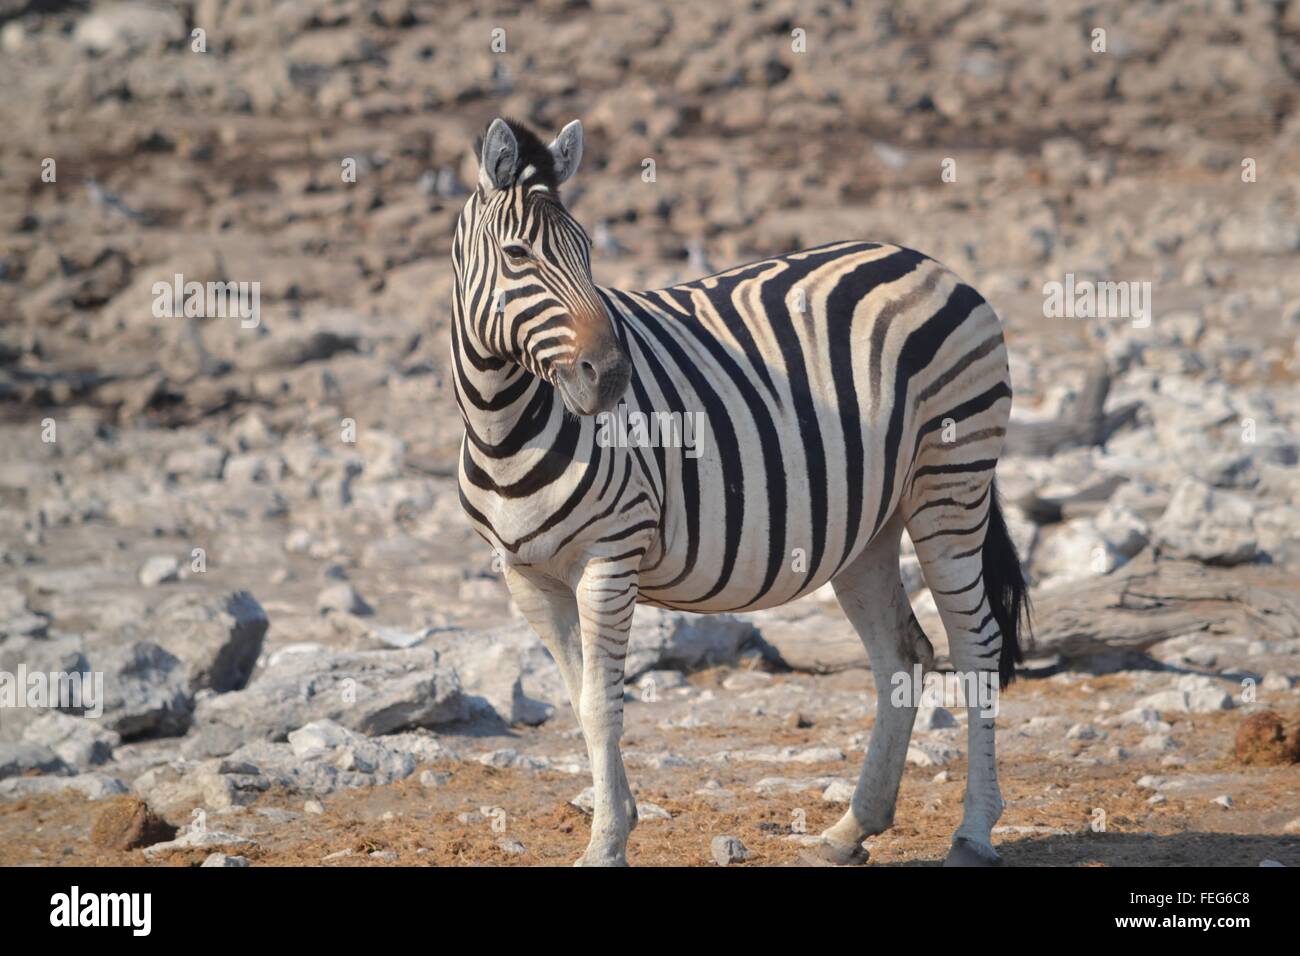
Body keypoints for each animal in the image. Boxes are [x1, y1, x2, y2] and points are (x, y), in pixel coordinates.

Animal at [452, 117, 1029, 868]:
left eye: (587, 252)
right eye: (517, 255)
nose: (612, 376)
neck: (504, 425)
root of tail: (933, 263)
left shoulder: (610, 556)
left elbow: (605, 703)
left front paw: (606, 844)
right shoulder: (524, 575)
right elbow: (580, 700)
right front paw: (617, 820)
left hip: (950, 481)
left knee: (977, 645)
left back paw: (974, 831)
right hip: (869, 526)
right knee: (901, 654)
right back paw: (852, 828)